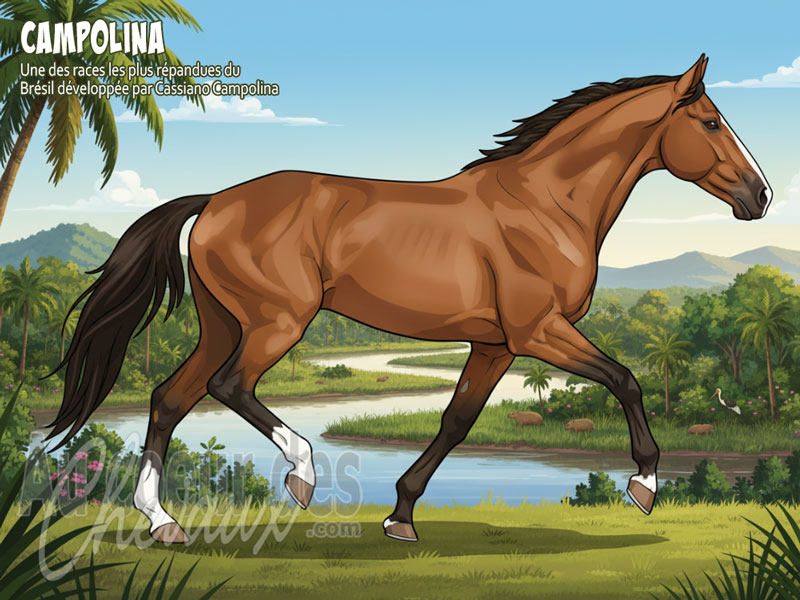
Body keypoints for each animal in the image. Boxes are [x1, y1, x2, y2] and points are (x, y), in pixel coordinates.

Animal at [47, 55, 771, 543]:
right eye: (710, 121)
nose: (760, 196)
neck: (544, 204)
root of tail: (216, 201)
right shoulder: (539, 331)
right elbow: (626, 380)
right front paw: (644, 485)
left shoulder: (496, 344)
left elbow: (456, 421)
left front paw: (400, 515)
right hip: (276, 323)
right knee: (229, 386)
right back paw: (301, 473)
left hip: (224, 323)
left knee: (170, 398)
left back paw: (161, 520)